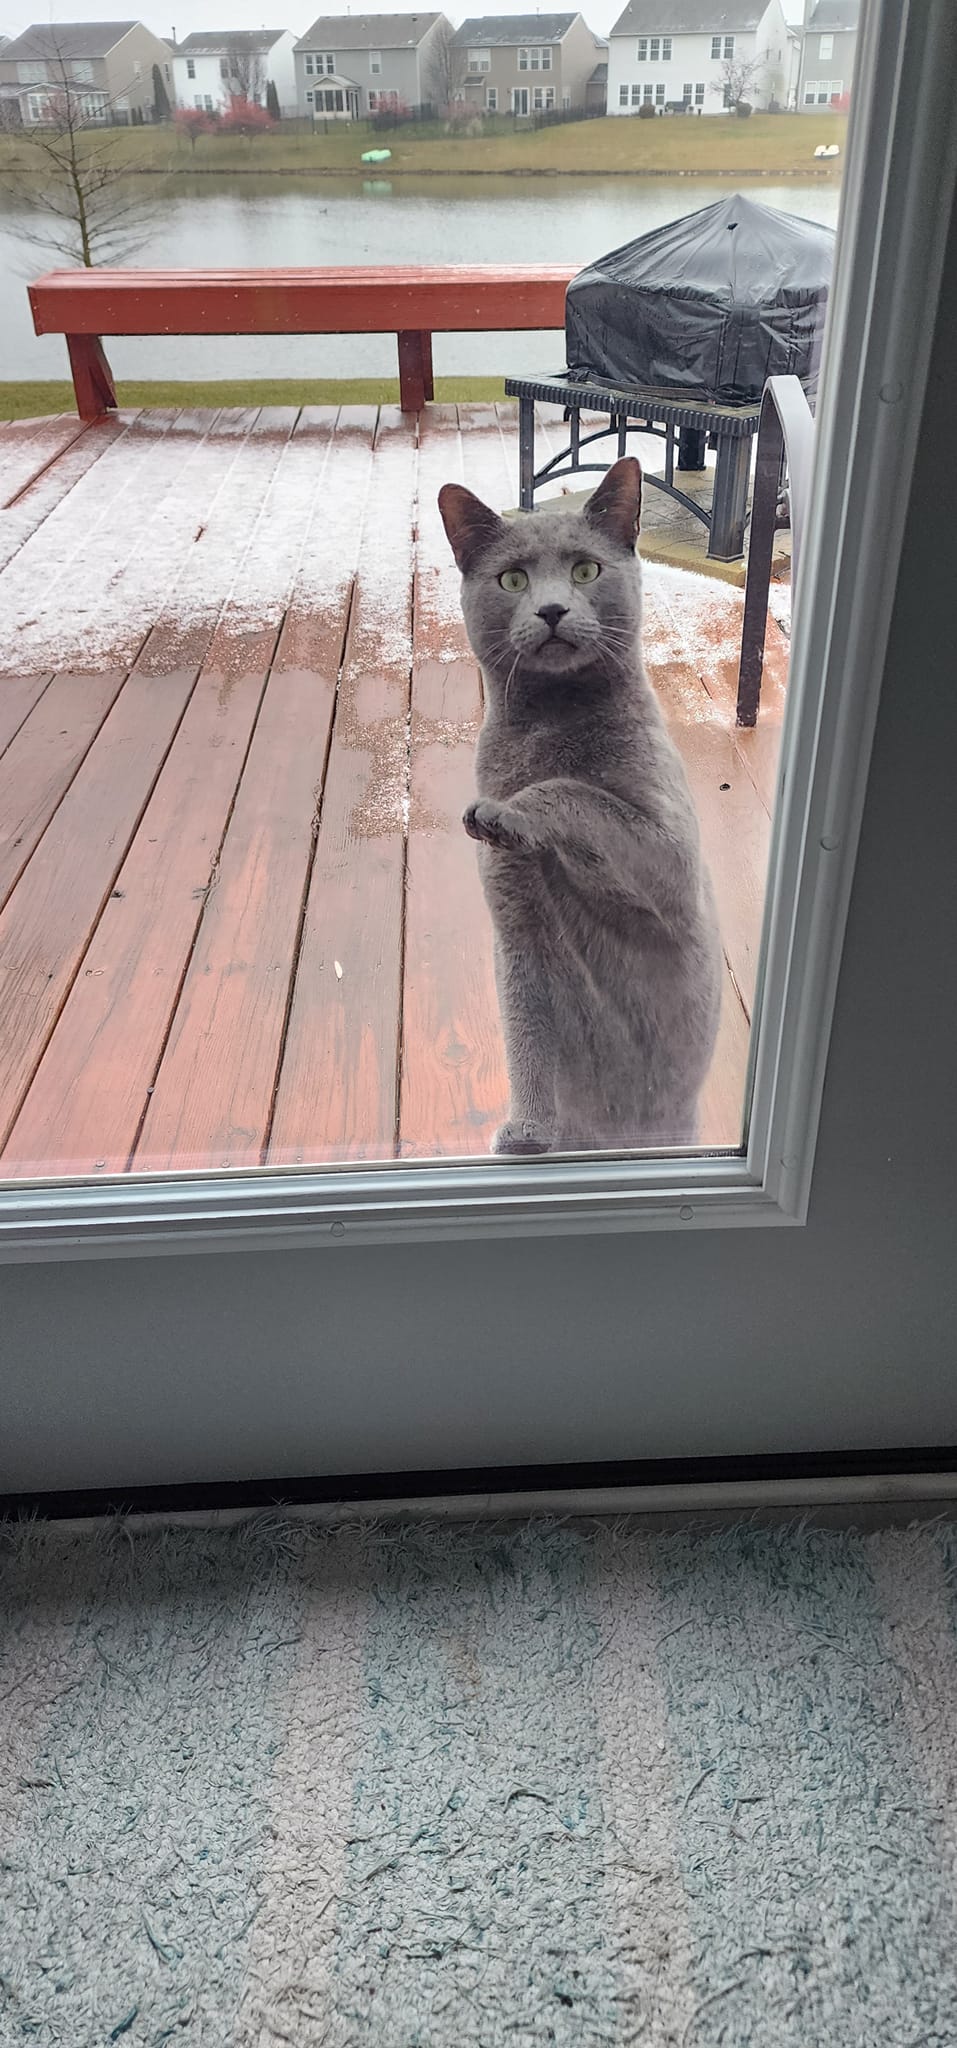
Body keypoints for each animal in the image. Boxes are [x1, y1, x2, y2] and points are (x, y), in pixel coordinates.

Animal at [438, 460, 721, 1155]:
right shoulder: (517, 930)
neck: (548, 727)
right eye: (513, 579)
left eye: (586, 570)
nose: (551, 608)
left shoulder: (671, 854)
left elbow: (577, 792)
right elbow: (528, 1039)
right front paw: (527, 1134)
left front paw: (504, 811)